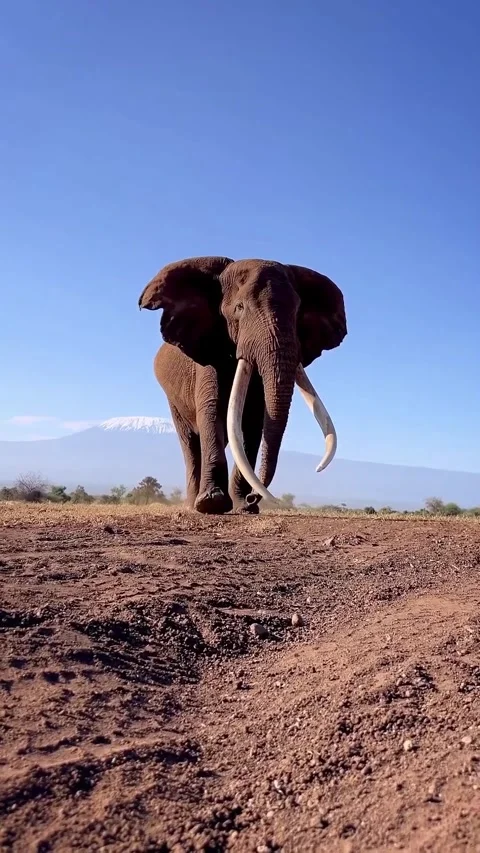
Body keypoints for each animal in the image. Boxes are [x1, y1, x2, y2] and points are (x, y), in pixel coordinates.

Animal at [138, 256, 347, 514]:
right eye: (239, 308)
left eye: (298, 311)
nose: (253, 498)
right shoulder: (207, 354)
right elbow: (212, 412)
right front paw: (212, 503)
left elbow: (253, 424)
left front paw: (243, 508)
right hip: (173, 399)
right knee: (190, 443)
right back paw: (191, 504)